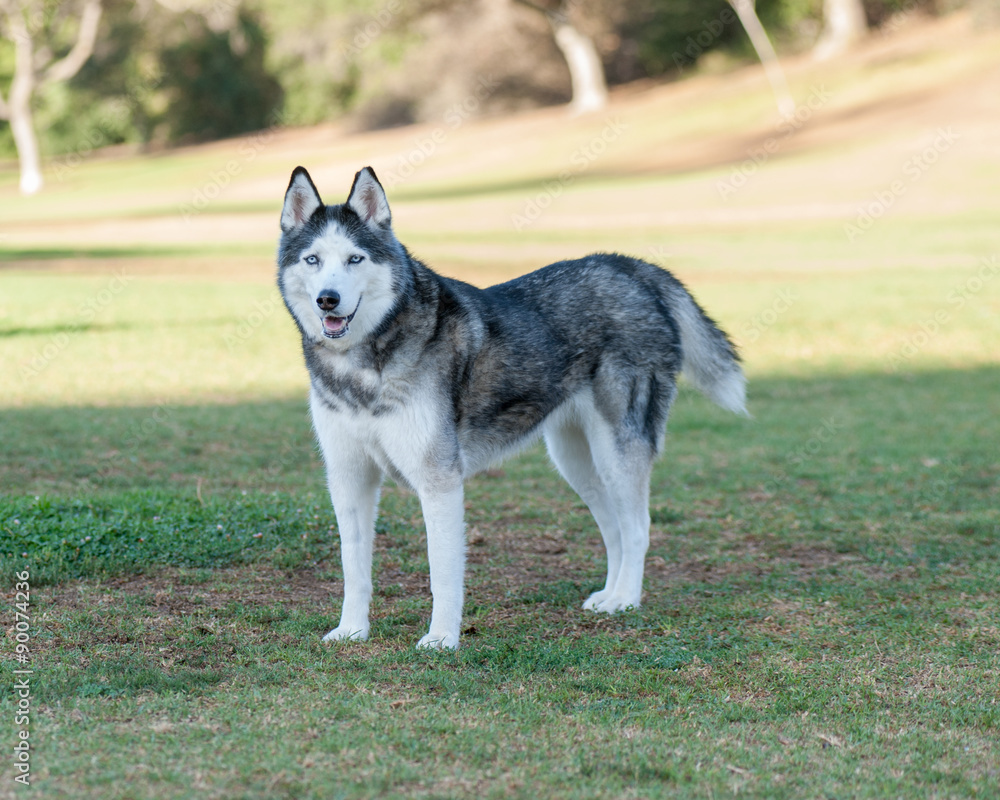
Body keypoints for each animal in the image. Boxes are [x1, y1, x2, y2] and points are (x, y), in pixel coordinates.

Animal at [278, 166, 748, 648]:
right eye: (313, 260)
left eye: (355, 259)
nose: (328, 299)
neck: (360, 365)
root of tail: (630, 266)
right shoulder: (348, 476)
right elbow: (353, 567)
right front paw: (352, 630)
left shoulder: (439, 479)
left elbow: (442, 572)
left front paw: (442, 638)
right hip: (575, 460)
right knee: (615, 527)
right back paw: (608, 594)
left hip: (617, 451)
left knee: (637, 527)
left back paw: (625, 600)